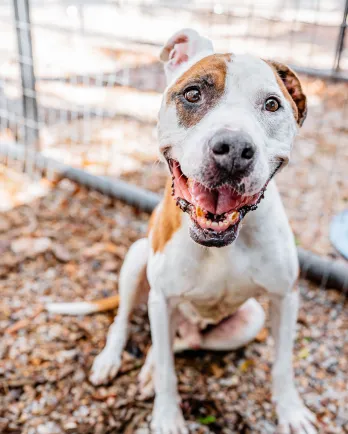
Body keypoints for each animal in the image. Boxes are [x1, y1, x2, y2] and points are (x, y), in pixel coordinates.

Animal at [47, 29, 316, 434]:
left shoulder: (286, 296)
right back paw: (112, 359)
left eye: (272, 104)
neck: (222, 243)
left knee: (177, 344)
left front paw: (291, 412)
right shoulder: (162, 298)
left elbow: (283, 365)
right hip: (137, 260)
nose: (233, 148)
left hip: (248, 320)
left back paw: (147, 369)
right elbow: (168, 373)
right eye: (193, 94)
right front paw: (167, 416)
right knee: (125, 322)